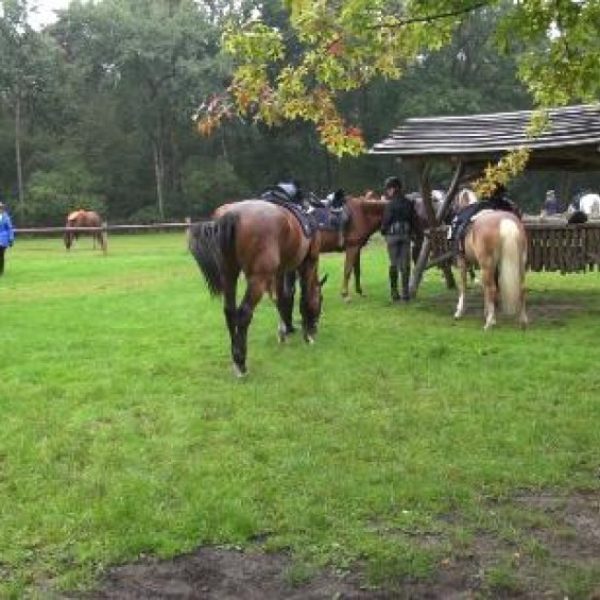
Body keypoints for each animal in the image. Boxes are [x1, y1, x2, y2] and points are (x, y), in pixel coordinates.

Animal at [190, 199, 326, 378]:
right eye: (321, 301)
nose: (315, 327)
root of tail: (233, 213)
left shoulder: (280, 272)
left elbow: (282, 299)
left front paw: (283, 333)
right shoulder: (308, 263)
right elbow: (303, 299)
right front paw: (307, 337)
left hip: (229, 274)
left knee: (229, 311)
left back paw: (235, 359)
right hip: (258, 280)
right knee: (243, 314)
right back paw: (241, 364)